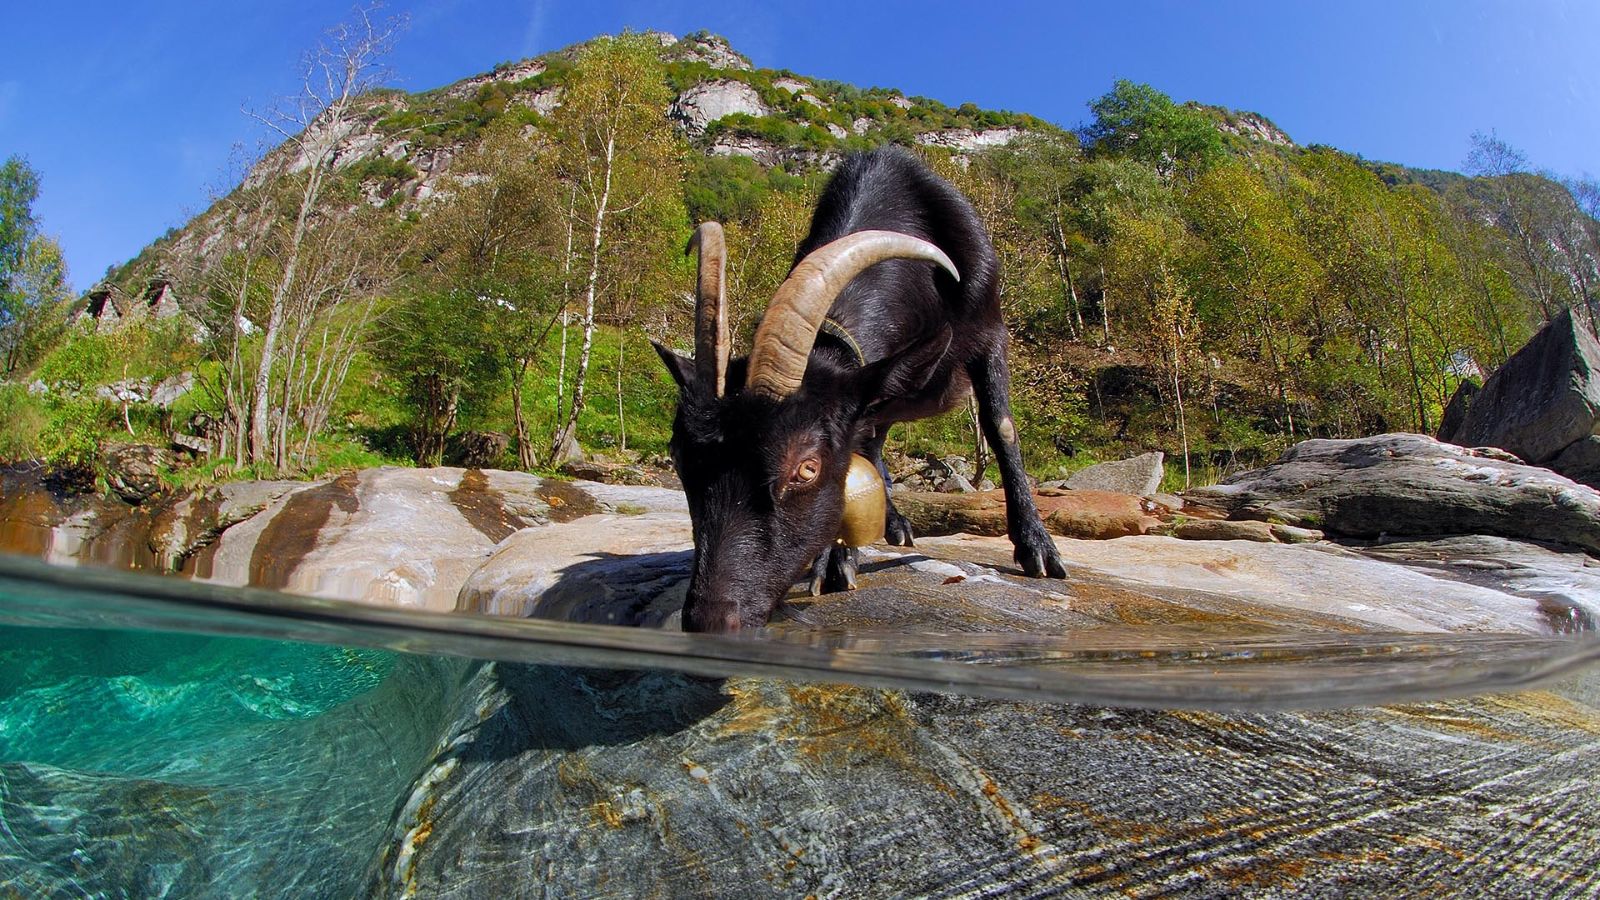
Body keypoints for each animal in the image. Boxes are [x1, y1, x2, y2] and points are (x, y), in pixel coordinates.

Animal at [653, 146, 1066, 633]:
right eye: (680, 457)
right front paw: (834, 560)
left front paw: (1037, 548)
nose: (710, 621)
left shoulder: (990, 332)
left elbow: (1002, 428)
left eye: (806, 468)